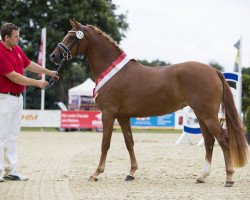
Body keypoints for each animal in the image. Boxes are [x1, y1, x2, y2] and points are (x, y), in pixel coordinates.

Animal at [50, 19, 248, 187]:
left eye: (71, 37)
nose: (53, 56)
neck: (112, 71)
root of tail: (213, 70)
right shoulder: (123, 117)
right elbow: (129, 142)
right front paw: (131, 173)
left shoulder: (108, 114)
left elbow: (105, 143)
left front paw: (96, 173)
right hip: (201, 115)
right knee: (209, 142)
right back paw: (202, 176)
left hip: (207, 115)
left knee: (223, 139)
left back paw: (229, 178)